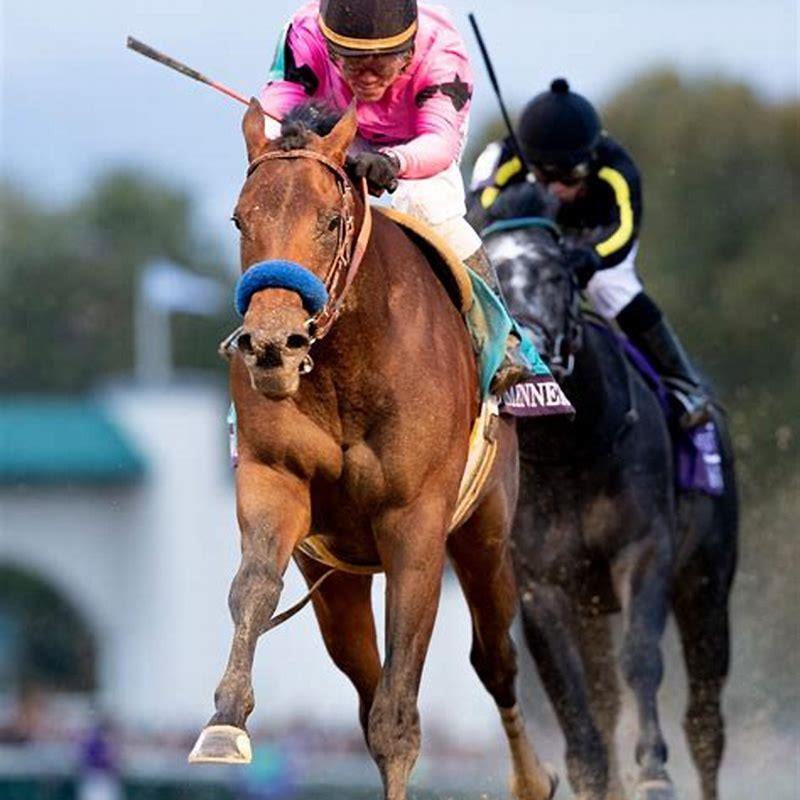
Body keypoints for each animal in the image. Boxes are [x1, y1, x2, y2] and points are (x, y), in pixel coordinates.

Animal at [187, 100, 558, 800]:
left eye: (330, 220)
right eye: (240, 218)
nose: (272, 344)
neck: (345, 366)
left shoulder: (416, 524)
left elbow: (399, 714)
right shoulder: (275, 478)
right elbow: (254, 586)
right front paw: (224, 723)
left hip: (486, 536)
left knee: (495, 659)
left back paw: (534, 777)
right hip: (336, 584)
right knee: (363, 684)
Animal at [483, 221, 739, 800]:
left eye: (557, 275)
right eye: (493, 279)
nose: (528, 348)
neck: (568, 452)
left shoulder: (642, 550)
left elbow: (640, 658)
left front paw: (653, 771)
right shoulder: (540, 583)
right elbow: (570, 693)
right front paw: (589, 773)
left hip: (706, 582)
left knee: (704, 718)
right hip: (590, 608)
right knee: (603, 698)